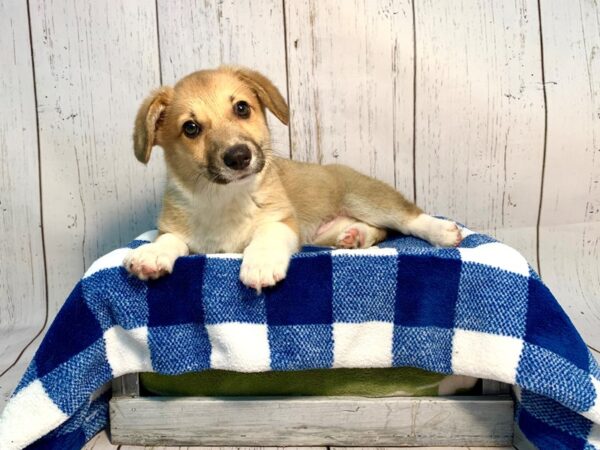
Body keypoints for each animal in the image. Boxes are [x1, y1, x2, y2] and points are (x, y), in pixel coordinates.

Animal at [124, 67, 462, 292]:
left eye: (242, 108)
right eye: (191, 128)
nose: (239, 156)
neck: (224, 198)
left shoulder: (283, 221)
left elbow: (266, 235)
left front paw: (260, 263)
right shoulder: (175, 228)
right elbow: (169, 238)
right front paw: (151, 254)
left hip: (365, 198)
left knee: (406, 218)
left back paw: (442, 231)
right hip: (323, 233)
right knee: (378, 229)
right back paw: (355, 236)